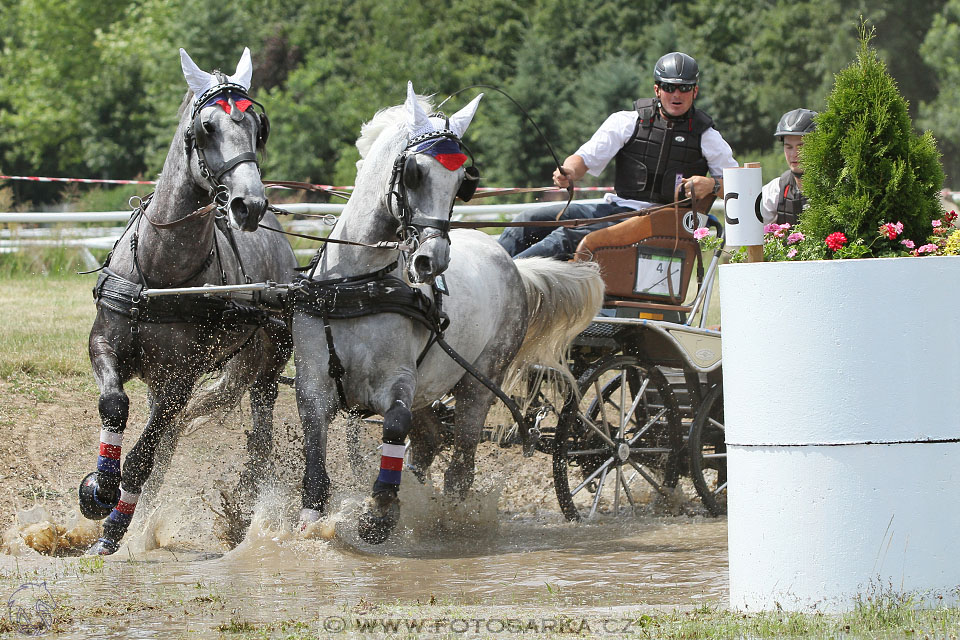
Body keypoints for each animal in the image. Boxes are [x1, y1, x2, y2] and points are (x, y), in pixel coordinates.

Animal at [78, 47, 296, 556]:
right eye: (207, 128)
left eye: (257, 127)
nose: (249, 205)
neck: (161, 274)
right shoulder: (106, 348)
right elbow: (114, 405)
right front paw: (99, 489)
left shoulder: (180, 379)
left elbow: (142, 457)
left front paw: (113, 521)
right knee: (169, 440)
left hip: (261, 370)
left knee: (253, 438)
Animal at [292, 82, 604, 544]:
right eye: (414, 173)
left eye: (461, 183)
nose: (431, 260)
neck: (359, 286)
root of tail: (512, 264)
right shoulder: (313, 383)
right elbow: (315, 451)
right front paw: (310, 522)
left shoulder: (399, 379)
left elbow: (395, 424)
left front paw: (378, 514)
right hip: (434, 383)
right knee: (429, 442)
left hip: (481, 379)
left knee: (460, 463)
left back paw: (451, 522)